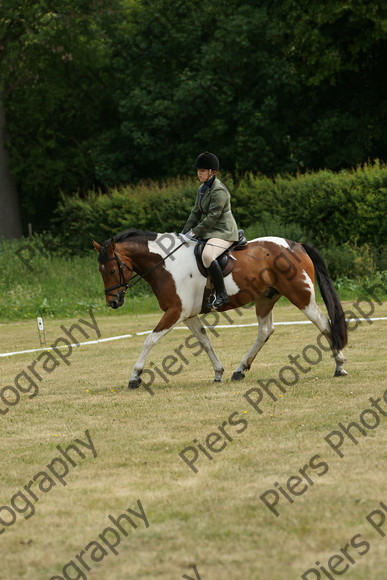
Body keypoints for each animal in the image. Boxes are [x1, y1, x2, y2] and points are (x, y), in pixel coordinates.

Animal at [91, 228, 348, 390]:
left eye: (112, 270)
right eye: (100, 271)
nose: (113, 302)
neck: (165, 264)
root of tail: (296, 246)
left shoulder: (175, 312)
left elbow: (149, 340)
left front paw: (135, 377)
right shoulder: (188, 315)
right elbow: (205, 342)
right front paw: (218, 372)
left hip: (301, 296)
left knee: (325, 325)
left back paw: (339, 366)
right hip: (265, 298)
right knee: (265, 331)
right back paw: (240, 370)